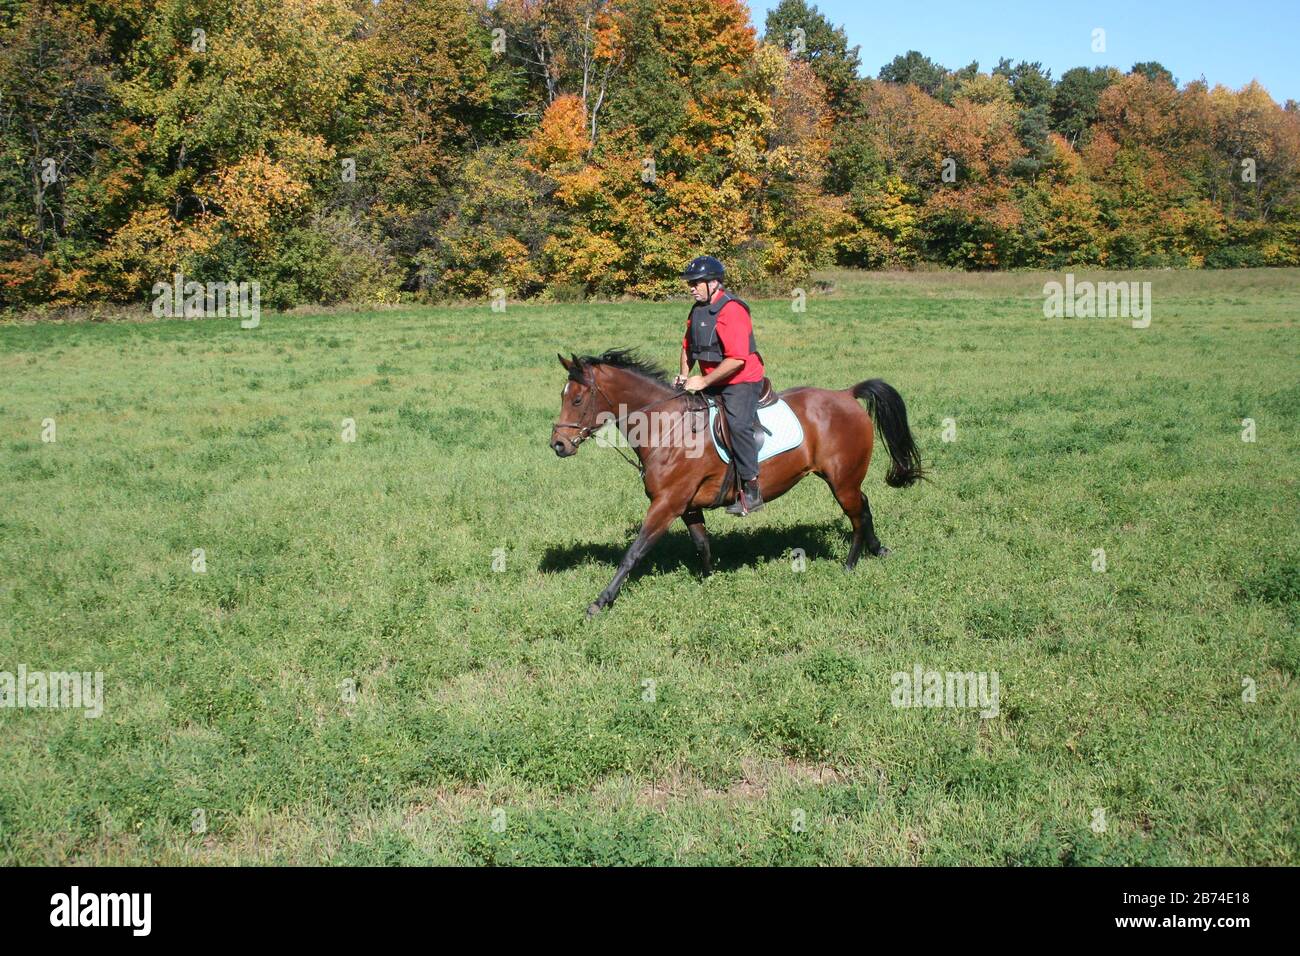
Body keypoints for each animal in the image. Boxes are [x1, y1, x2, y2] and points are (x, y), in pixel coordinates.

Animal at [548, 351, 925, 621]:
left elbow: (634, 553)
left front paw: (600, 602)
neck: (668, 427)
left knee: (857, 514)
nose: (558, 445)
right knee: (864, 504)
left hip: (841, 480)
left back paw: (850, 564)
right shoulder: (688, 506)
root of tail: (846, 395)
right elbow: (701, 544)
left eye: (577, 400)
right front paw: (708, 581)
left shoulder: (667, 503)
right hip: (844, 478)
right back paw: (878, 549)